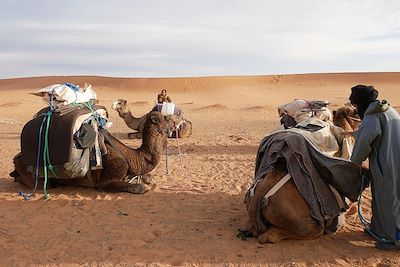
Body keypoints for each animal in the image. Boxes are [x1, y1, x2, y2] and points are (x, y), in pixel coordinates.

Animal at [10, 111, 170, 195]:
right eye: (166, 119)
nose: (173, 124)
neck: (132, 157)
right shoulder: (107, 179)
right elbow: (133, 186)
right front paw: (142, 187)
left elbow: (146, 177)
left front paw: (147, 179)